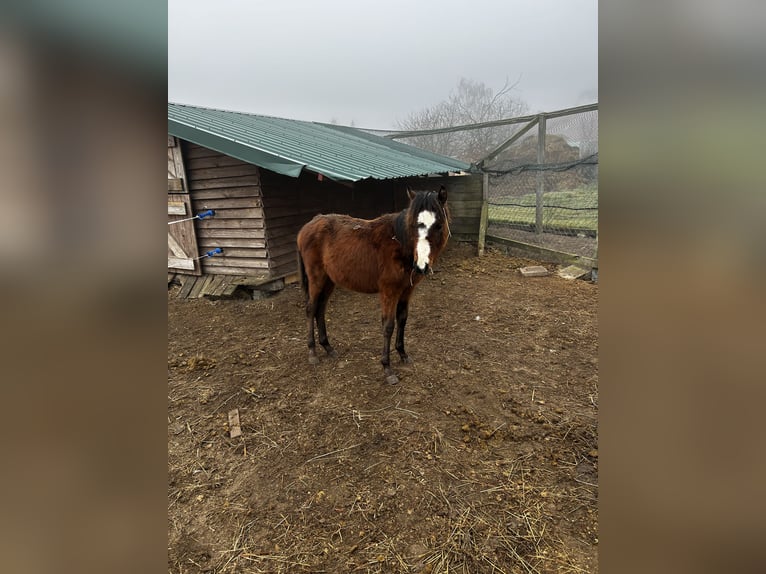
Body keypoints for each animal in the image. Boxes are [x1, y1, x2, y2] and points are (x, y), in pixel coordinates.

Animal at [296, 189, 450, 388]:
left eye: (438, 225)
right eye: (413, 225)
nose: (421, 266)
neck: (398, 242)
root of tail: (307, 227)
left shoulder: (406, 291)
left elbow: (402, 319)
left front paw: (403, 354)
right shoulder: (389, 292)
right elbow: (388, 326)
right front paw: (387, 368)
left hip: (329, 281)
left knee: (320, 309)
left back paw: (328, 347)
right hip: (316, 279)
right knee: (311, 308)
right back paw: (312, 352)